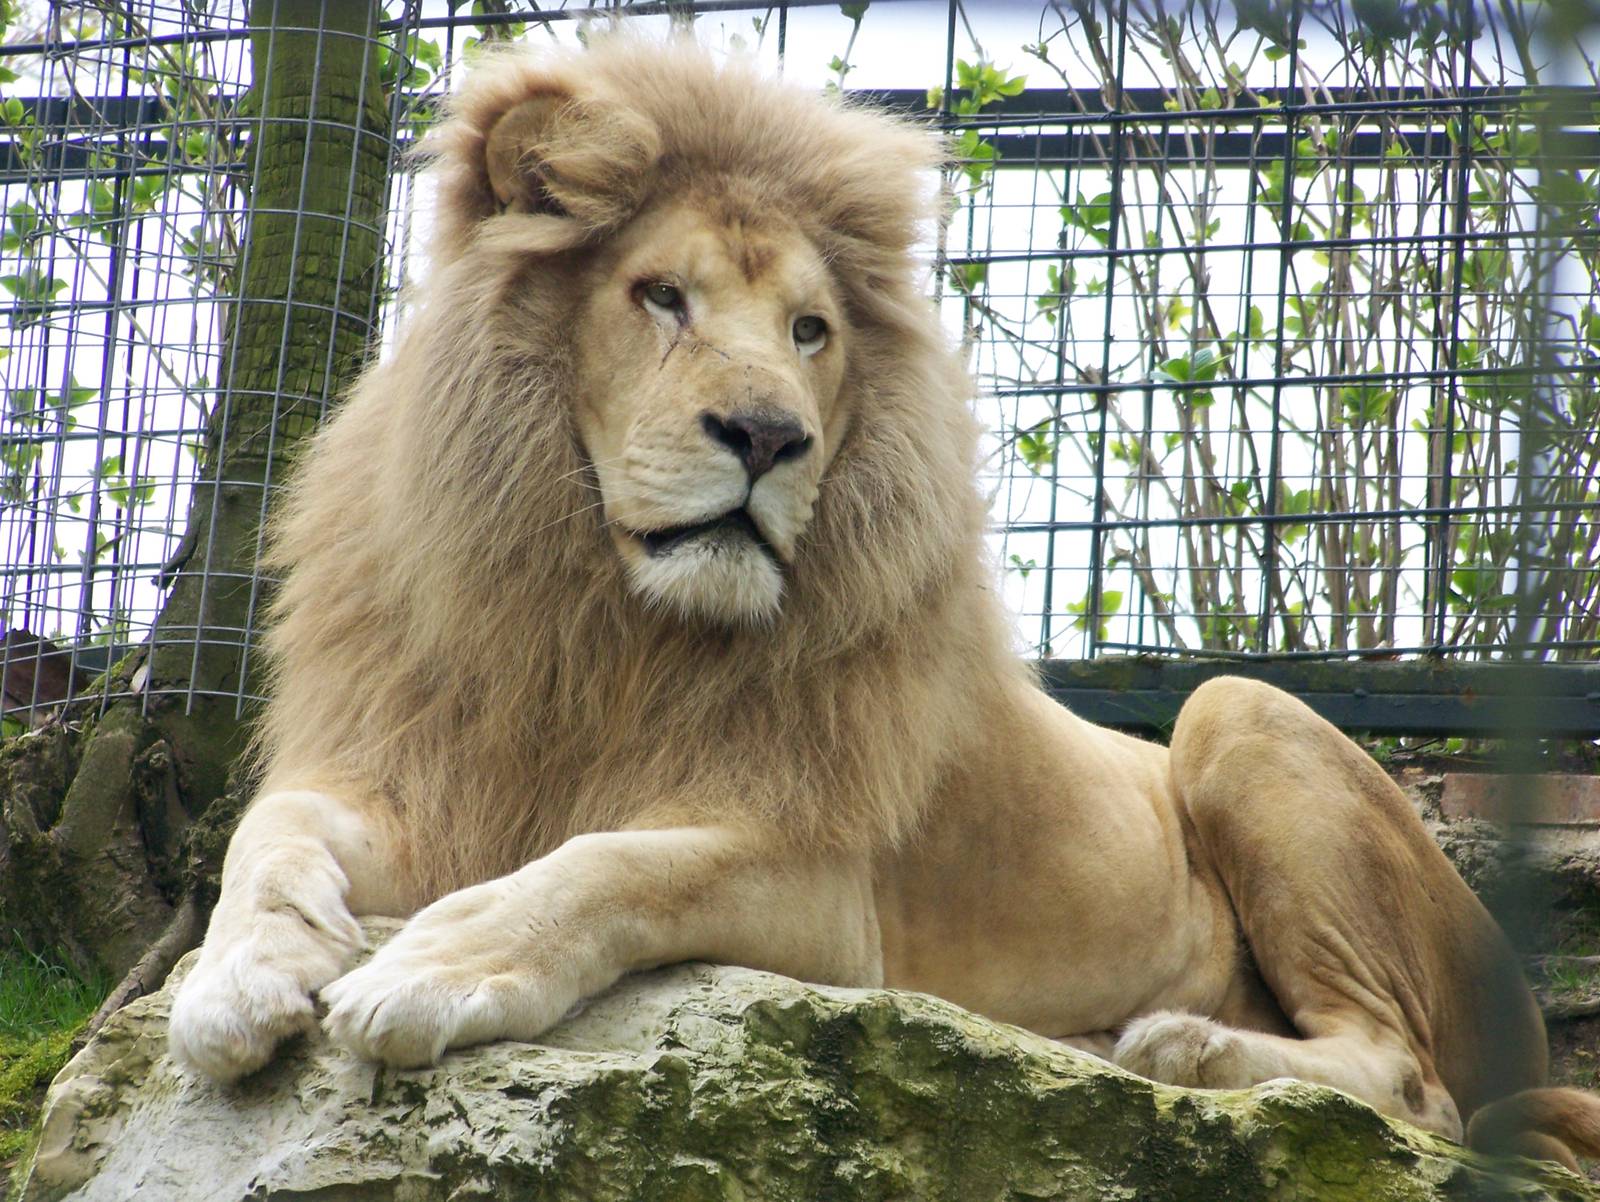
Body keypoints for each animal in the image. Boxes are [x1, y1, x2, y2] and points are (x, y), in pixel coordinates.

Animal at [166, 36, 1598, 1168]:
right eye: (661, 296)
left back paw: (1178, 1045)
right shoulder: (430, 772)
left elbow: (610, 865)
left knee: (1411, 1084)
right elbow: (268, 835)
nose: (767, 436)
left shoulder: (819, 889)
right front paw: (236, 978)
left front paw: (434, 964)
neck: (603, 616)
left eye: (810, 331)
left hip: (1238, 710)